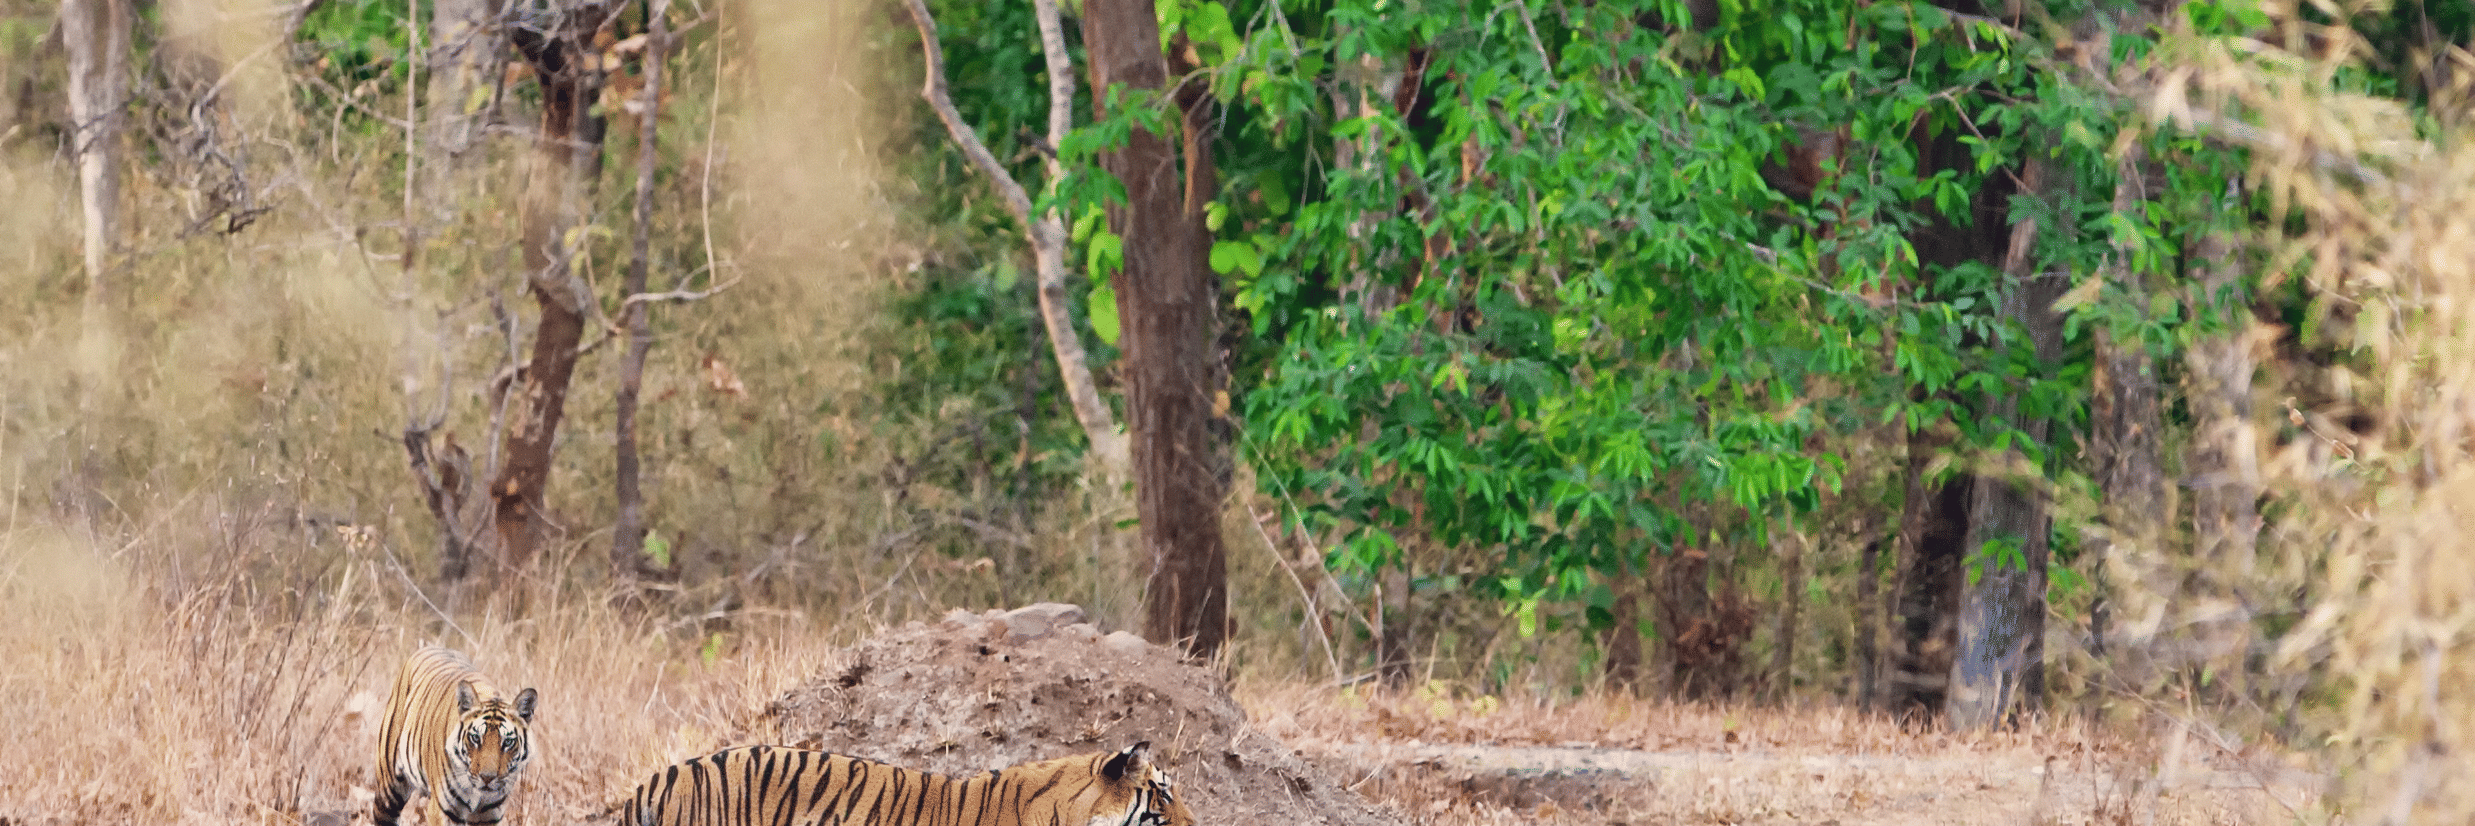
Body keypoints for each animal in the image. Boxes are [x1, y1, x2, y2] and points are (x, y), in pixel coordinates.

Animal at [372, 645, 540, 826]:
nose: (487, 778)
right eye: (475, 738)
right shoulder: (443, 811)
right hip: (389, 789)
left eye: (508, 742)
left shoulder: (489, 815)